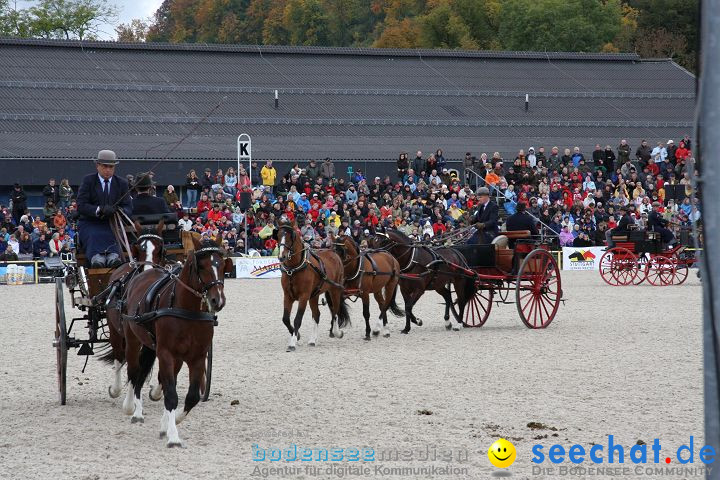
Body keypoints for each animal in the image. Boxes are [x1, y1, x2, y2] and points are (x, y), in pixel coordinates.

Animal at [100, 221, 165, 402]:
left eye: (160, 248)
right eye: (138, 248)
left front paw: (155, 392)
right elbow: (133, 366)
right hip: (115, 329)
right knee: (118, 355)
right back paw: (116, 389)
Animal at [118, 234, 231, 448]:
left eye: (222, 265)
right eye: (201, 265)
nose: (217, 300)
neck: (187, 310)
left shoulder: (197, 357)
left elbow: (191, 396)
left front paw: (174, 421)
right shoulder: (166, 354)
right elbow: (171, 395)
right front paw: (173, 436)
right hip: (133, 340)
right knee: (134, 372)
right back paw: (133, 409)